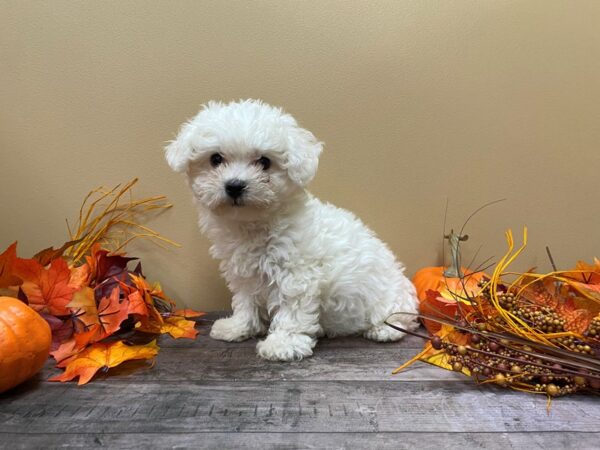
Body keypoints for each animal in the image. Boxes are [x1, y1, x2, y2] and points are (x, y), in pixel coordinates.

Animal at [164, 100, 418, 360]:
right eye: (215, 159)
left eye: (264, 162)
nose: (234, 186)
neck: (253, 225)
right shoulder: (245, 276)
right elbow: (246, 302)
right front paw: (239, 327)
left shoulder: (296, 275)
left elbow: (292, 310)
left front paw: (283, 344)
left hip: (392, 298)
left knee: (401, 317)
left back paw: (384, 329)